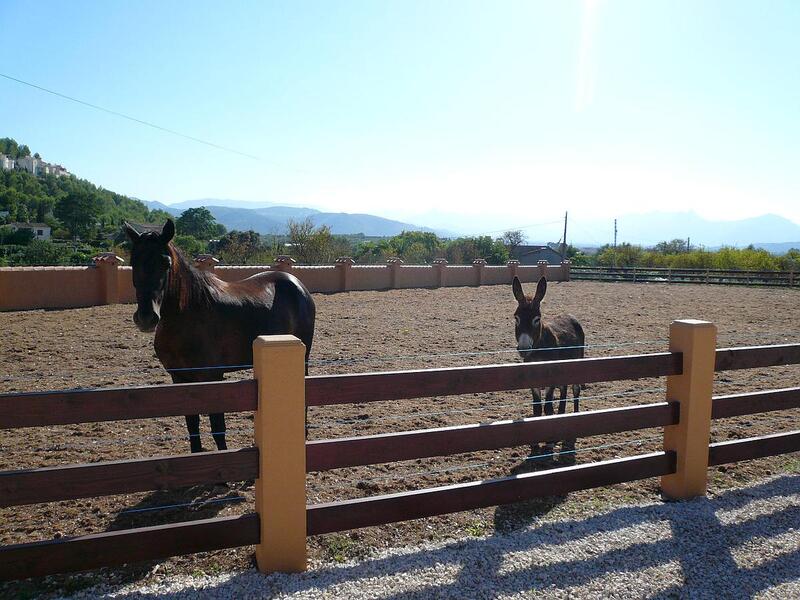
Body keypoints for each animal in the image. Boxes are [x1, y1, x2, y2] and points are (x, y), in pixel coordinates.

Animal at [125, 219, 316, 450]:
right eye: (133, 261)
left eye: (166, 263)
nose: (146, 317)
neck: (188, 315)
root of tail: (297, 284)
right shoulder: (180, 378)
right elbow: (192, 424)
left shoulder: (212, 377)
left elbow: (218, 428)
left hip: (303, 358)